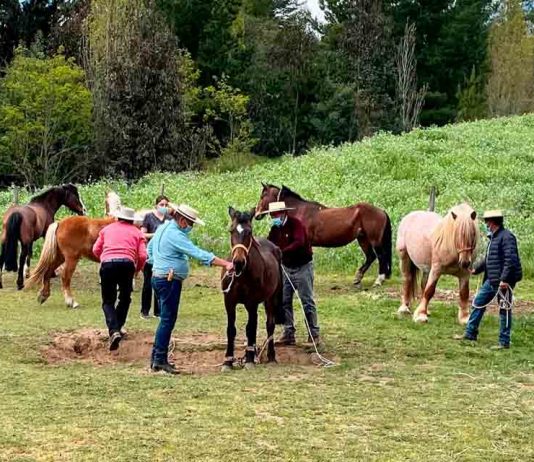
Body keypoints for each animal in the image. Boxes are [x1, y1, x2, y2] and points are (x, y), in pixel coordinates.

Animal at [222, 208, 286, 370]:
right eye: (231, 230)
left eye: (249, 232)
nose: (238, 262)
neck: (241, 275)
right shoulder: (229, 302)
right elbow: (231, 329)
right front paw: (228, 361)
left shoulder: (251, 303)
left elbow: (250, 328)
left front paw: (249, 360)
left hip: (271, 299)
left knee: (269, 325)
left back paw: (269, 356)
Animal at [255, 183, 394, 286]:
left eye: (262, 196)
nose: (256, 214)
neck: (299, 211)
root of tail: (381, 211)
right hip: (362, 239)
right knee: (371, 257)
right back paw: (358, 278)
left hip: (374, 240)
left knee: (381, 256)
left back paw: (379, 280)